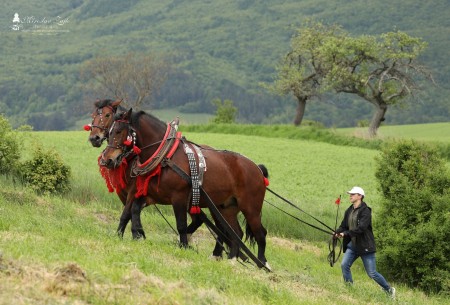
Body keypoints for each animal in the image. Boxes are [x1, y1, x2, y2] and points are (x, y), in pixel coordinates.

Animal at [100, 107, 268, 266]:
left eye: (119, 131)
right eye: (110, 131)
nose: (106, 159)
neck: (166, 157)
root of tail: (257, 169)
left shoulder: (179, 197)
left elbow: (181, 224)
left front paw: (184, 245)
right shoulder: (149, 195)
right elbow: (132, 211)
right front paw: (137, 234)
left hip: (250, 208)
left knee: (259, 233)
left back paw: (262, 264)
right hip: (225, 208)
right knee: (235, 233)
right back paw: (231, 258)